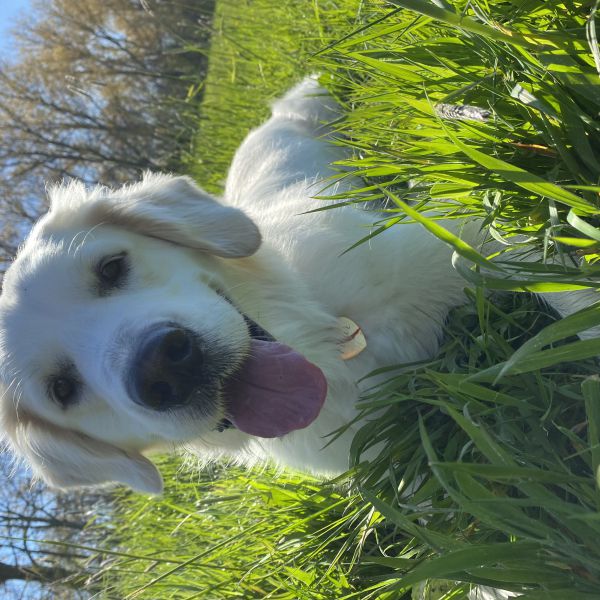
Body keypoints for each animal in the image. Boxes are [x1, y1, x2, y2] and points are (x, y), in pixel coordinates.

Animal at [0, 77, 592, 494]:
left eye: (111, 267)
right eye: (61, 389)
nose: (162, 365)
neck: (328, 342)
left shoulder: (461, 236)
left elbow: (565, 293)